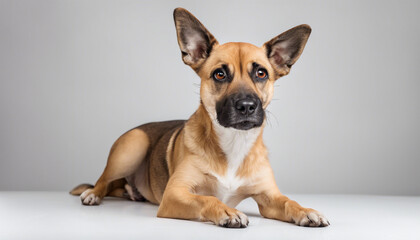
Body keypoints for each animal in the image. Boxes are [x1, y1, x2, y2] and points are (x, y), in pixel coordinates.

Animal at [70, 7, 330, 229]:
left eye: (261, 73)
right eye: (220, 74)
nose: (247, 106)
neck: (234, 142)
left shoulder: (269, 196)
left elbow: (288, 202)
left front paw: (306, 210)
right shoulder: (175, 194)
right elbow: (208, 199)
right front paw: (227, 211)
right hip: (132, 146)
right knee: (102, 179)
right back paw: (93, 194)